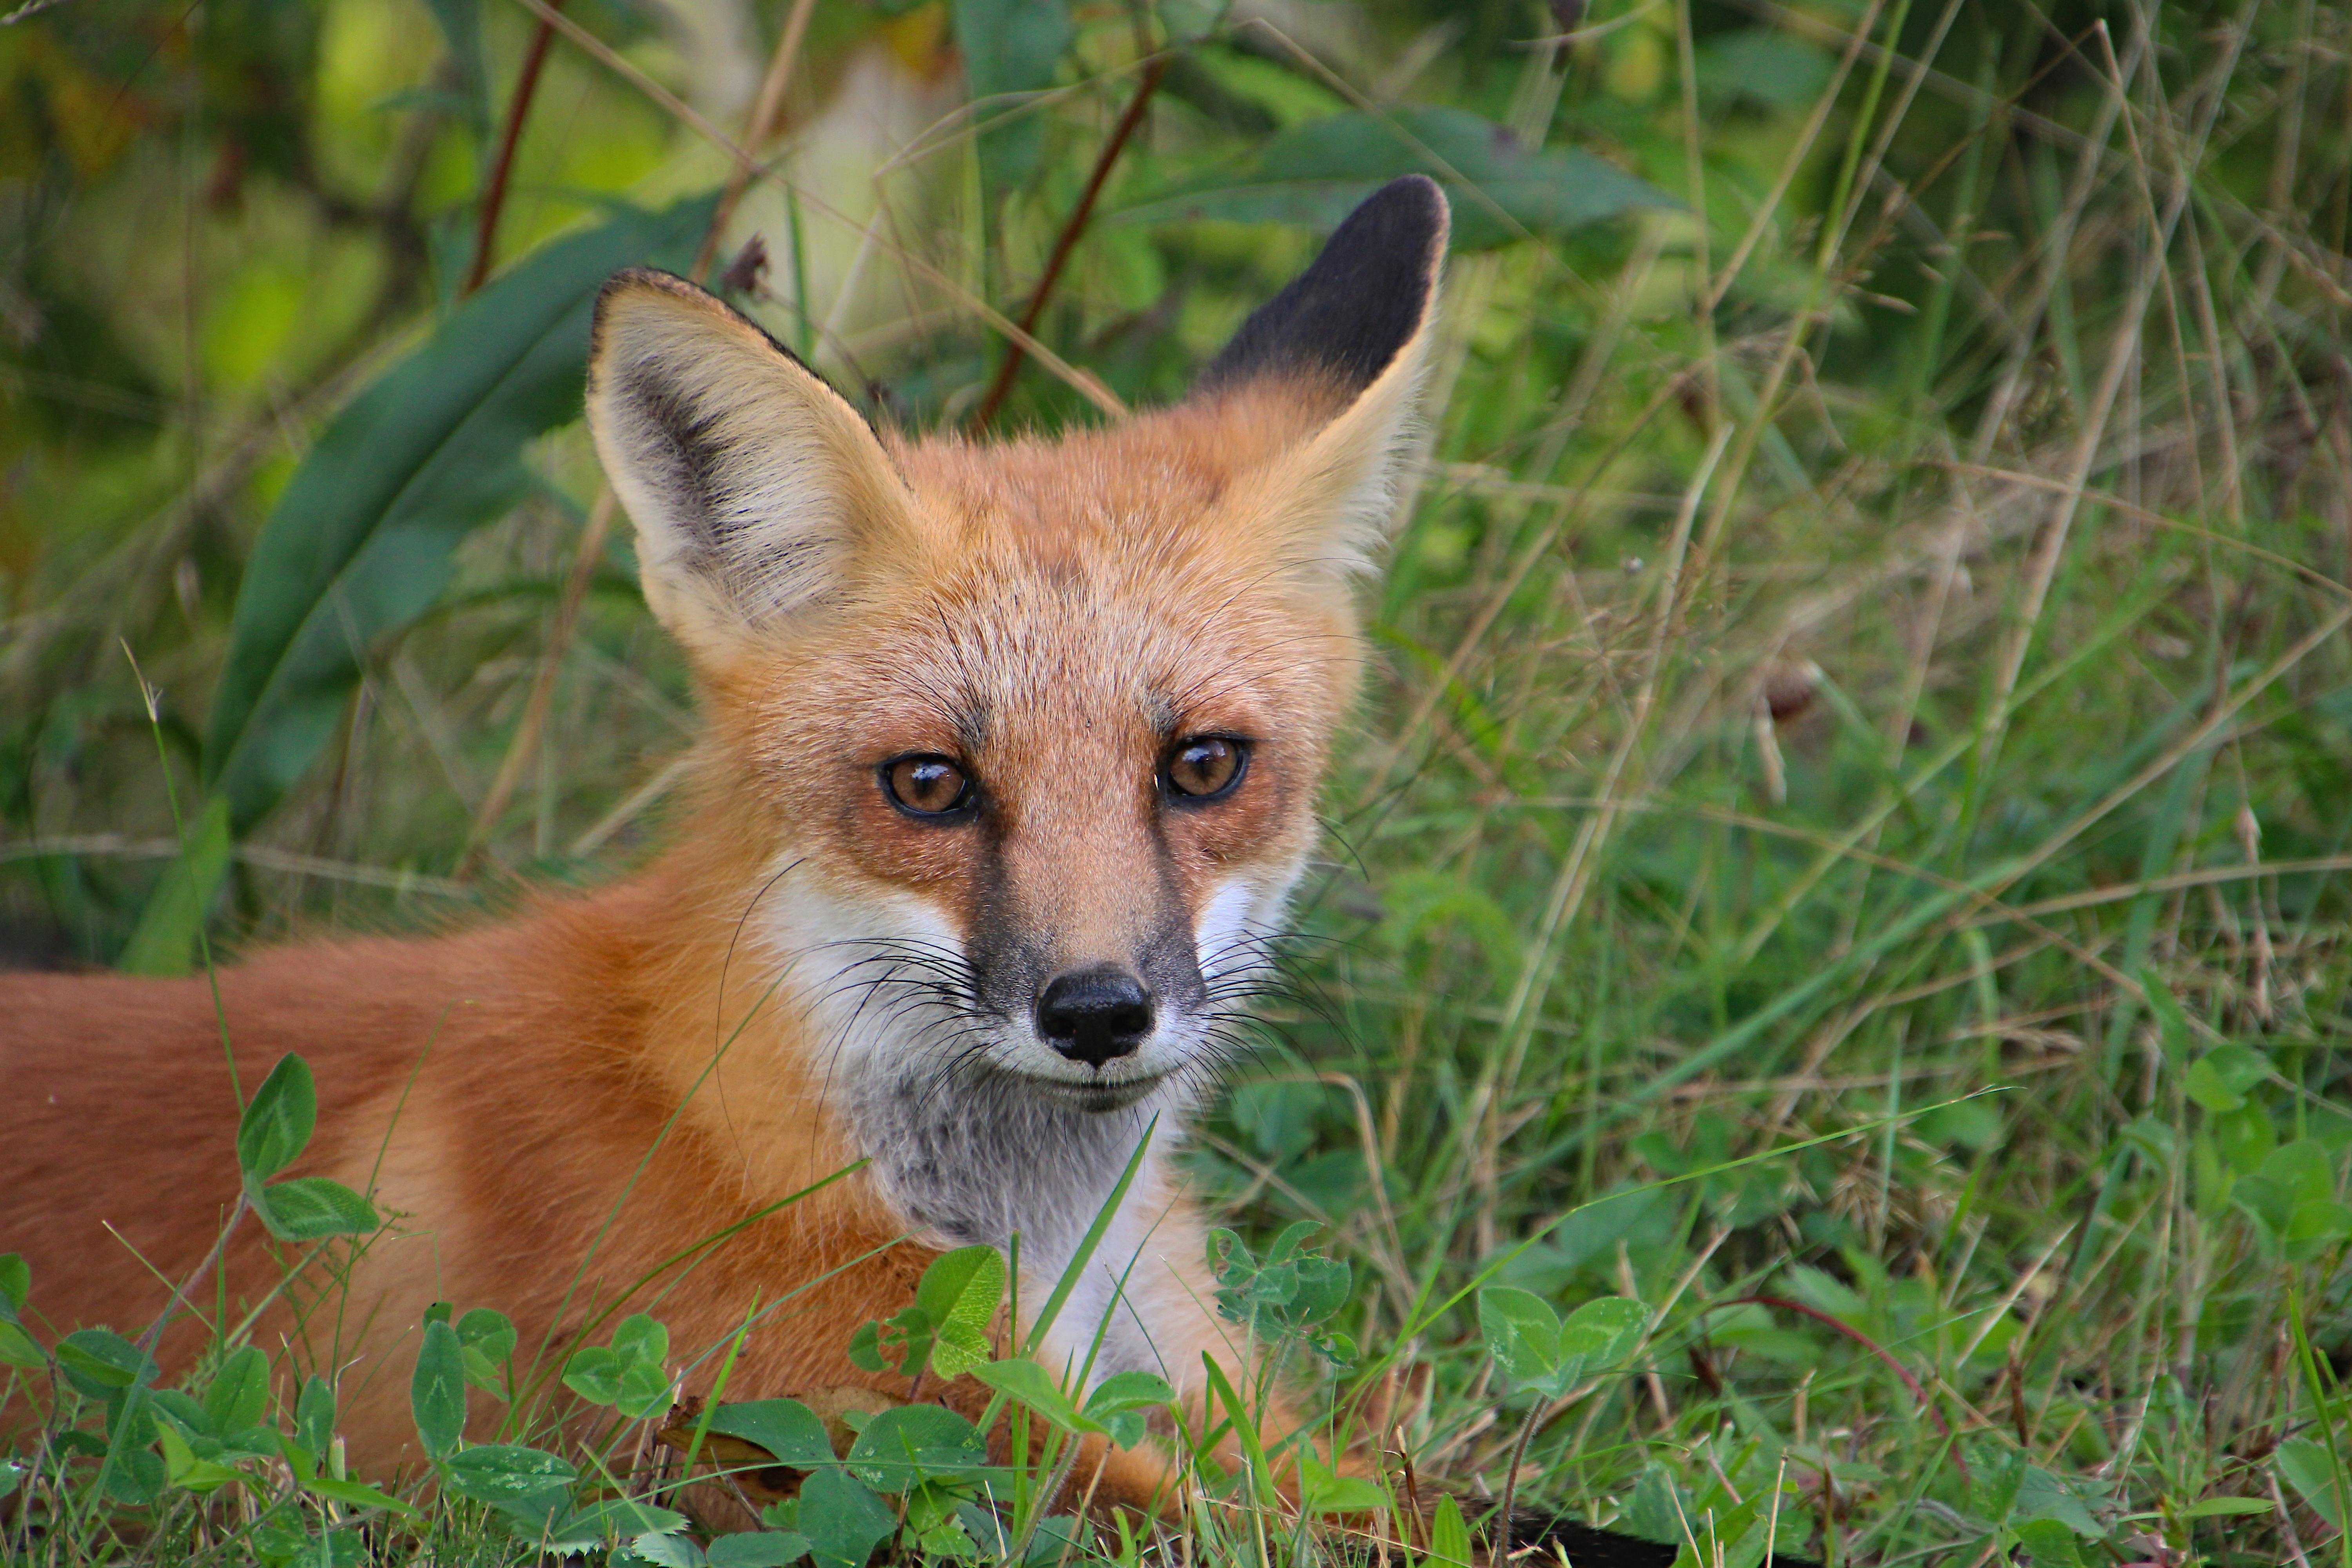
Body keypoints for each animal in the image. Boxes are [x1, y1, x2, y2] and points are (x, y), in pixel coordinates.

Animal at [3, 177, 1812, 1566]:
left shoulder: (1215, 1402)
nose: (1100, 1010)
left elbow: (1485, 1506)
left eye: (1202, 766)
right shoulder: (832, 1434)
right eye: (931, 784)